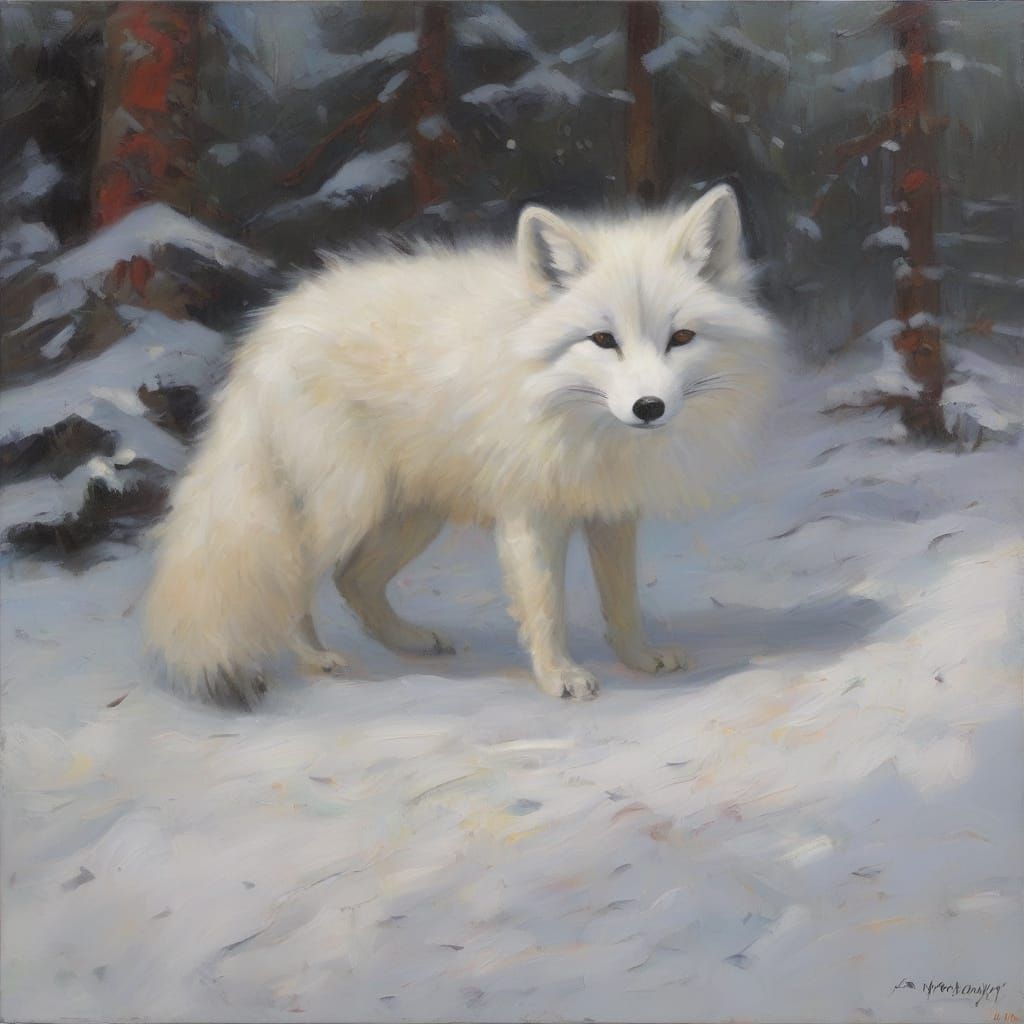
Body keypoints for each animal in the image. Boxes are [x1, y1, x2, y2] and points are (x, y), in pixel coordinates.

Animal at [145, 184, 783, 707]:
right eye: (603, 340)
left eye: (682, 337)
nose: (648, 408)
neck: (573, 413)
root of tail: (264, 336)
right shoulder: (531, 514)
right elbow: (545, 607)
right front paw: (559, 677)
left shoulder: (609, 511)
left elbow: (622, 603)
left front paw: (640, 661)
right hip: (348, 507)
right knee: (294, 577)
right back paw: (316, 658)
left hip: (412, 515)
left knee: (353, 580)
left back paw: (410, 641)